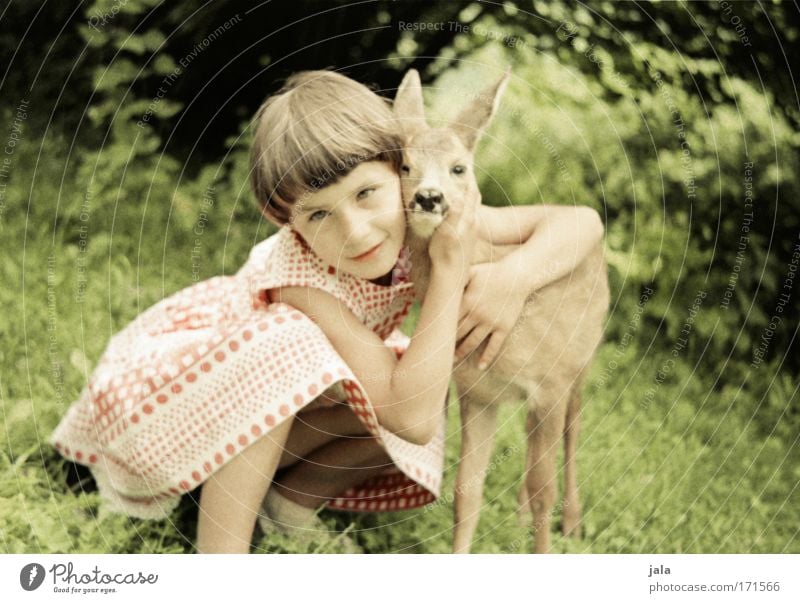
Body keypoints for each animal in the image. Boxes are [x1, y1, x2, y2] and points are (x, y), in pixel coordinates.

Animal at [390, 68, 608, 556]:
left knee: (573, 429)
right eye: (405, 165)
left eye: (459, 167)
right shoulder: (476, 392)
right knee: (530, 443)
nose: (428, 198)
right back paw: (522, 511)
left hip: (582, 359)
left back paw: (573, 520)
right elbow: (466, 490)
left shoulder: (551, 382)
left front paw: (545, 550)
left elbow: (545, 487)